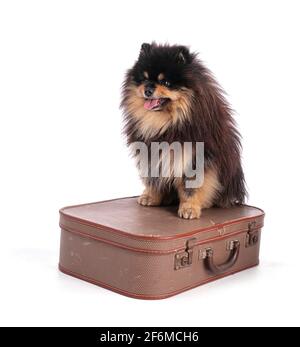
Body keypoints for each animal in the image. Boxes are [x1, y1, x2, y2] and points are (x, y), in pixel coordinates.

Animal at [120, 42, 247, 219]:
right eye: (144, 78)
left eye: (166, 82)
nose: (148, 90)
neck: (166, 121)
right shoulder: (151, 152)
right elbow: (153, 178)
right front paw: (151, 197)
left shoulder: (196, 156)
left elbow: (192, 187)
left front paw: (189, 208)